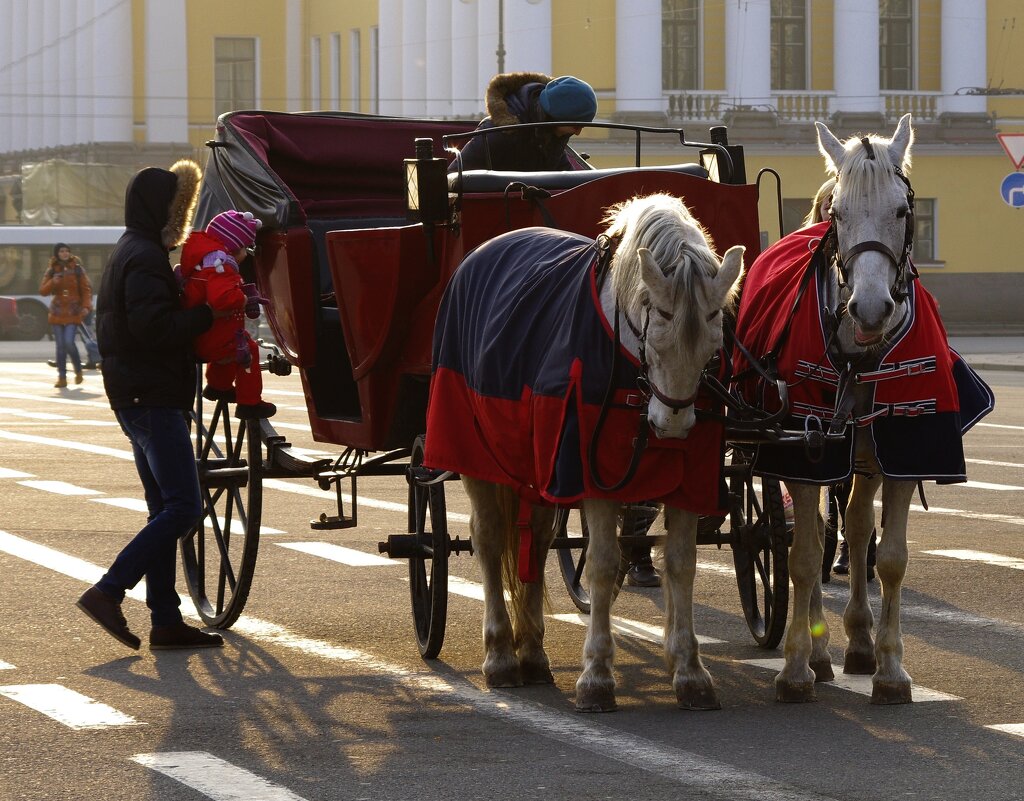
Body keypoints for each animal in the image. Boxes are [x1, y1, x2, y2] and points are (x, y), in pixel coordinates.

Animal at [425, 194, 745, 708]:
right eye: (657, 327)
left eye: (714, 342)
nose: (672, 424)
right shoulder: (593, 472)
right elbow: (602, 564)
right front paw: (596, 673)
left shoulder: (689, 478)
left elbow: (681, 563)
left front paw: (690, 670)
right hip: (478, 454)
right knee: (489, 540)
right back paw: (501, 654)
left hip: (535, 464)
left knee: (534, 539)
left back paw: (533, 652)